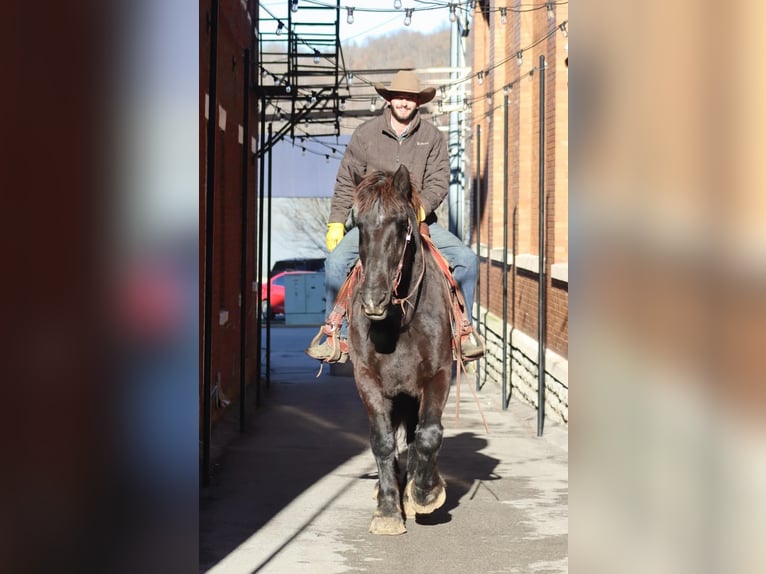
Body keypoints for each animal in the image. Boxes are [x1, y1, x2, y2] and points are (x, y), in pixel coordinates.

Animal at [348, 165, 456, 536]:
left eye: (400, 223)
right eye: (358, 222)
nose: (372, 300)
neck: (400, 321)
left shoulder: (438, 374)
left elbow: (428, 435)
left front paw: (425, 493)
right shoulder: (367, 379)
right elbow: (382, 440)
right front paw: (388, 509)